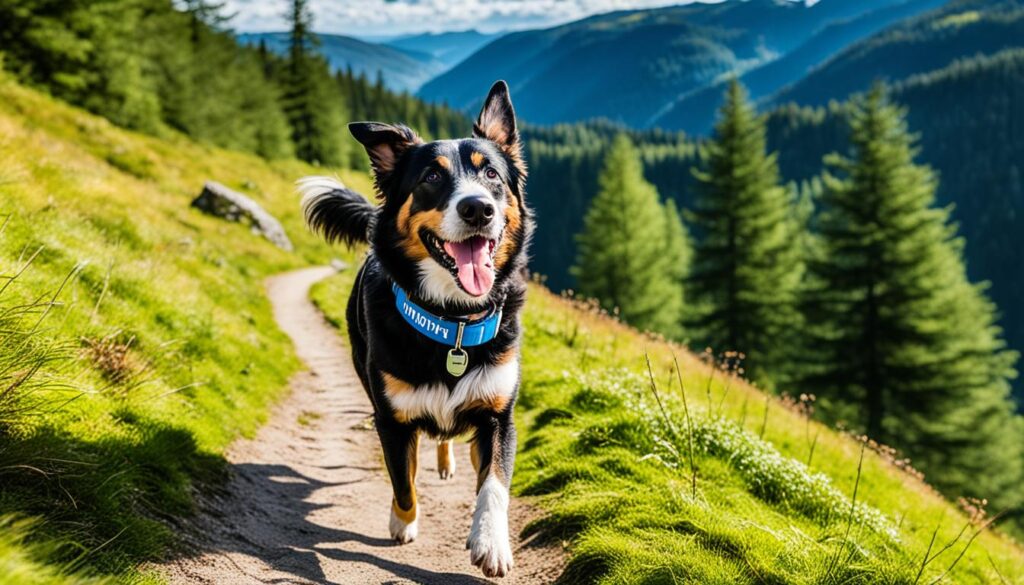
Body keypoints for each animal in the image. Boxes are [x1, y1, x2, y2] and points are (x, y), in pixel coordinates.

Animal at [296, 79, 532, 577]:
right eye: (431, 179)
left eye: (492, 175)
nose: (478, 209)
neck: (451, 323)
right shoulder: (390, 417)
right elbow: (402, 479)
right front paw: (402, 522)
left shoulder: (499, 414)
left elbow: (494, 484)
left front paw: (491, 542)